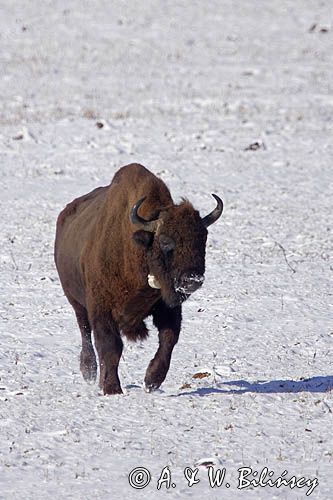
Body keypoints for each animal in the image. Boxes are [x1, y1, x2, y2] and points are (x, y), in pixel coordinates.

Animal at [53, 164, 222, 394]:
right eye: (165, 241)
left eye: (202, 239)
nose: (193, 280)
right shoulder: (101, 308)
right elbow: (110, 346)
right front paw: (112, 389)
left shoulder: (168, 307)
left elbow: (168, 339)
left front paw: (152, 381)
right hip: (76, 301)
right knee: (85, 331)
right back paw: (88, 372)